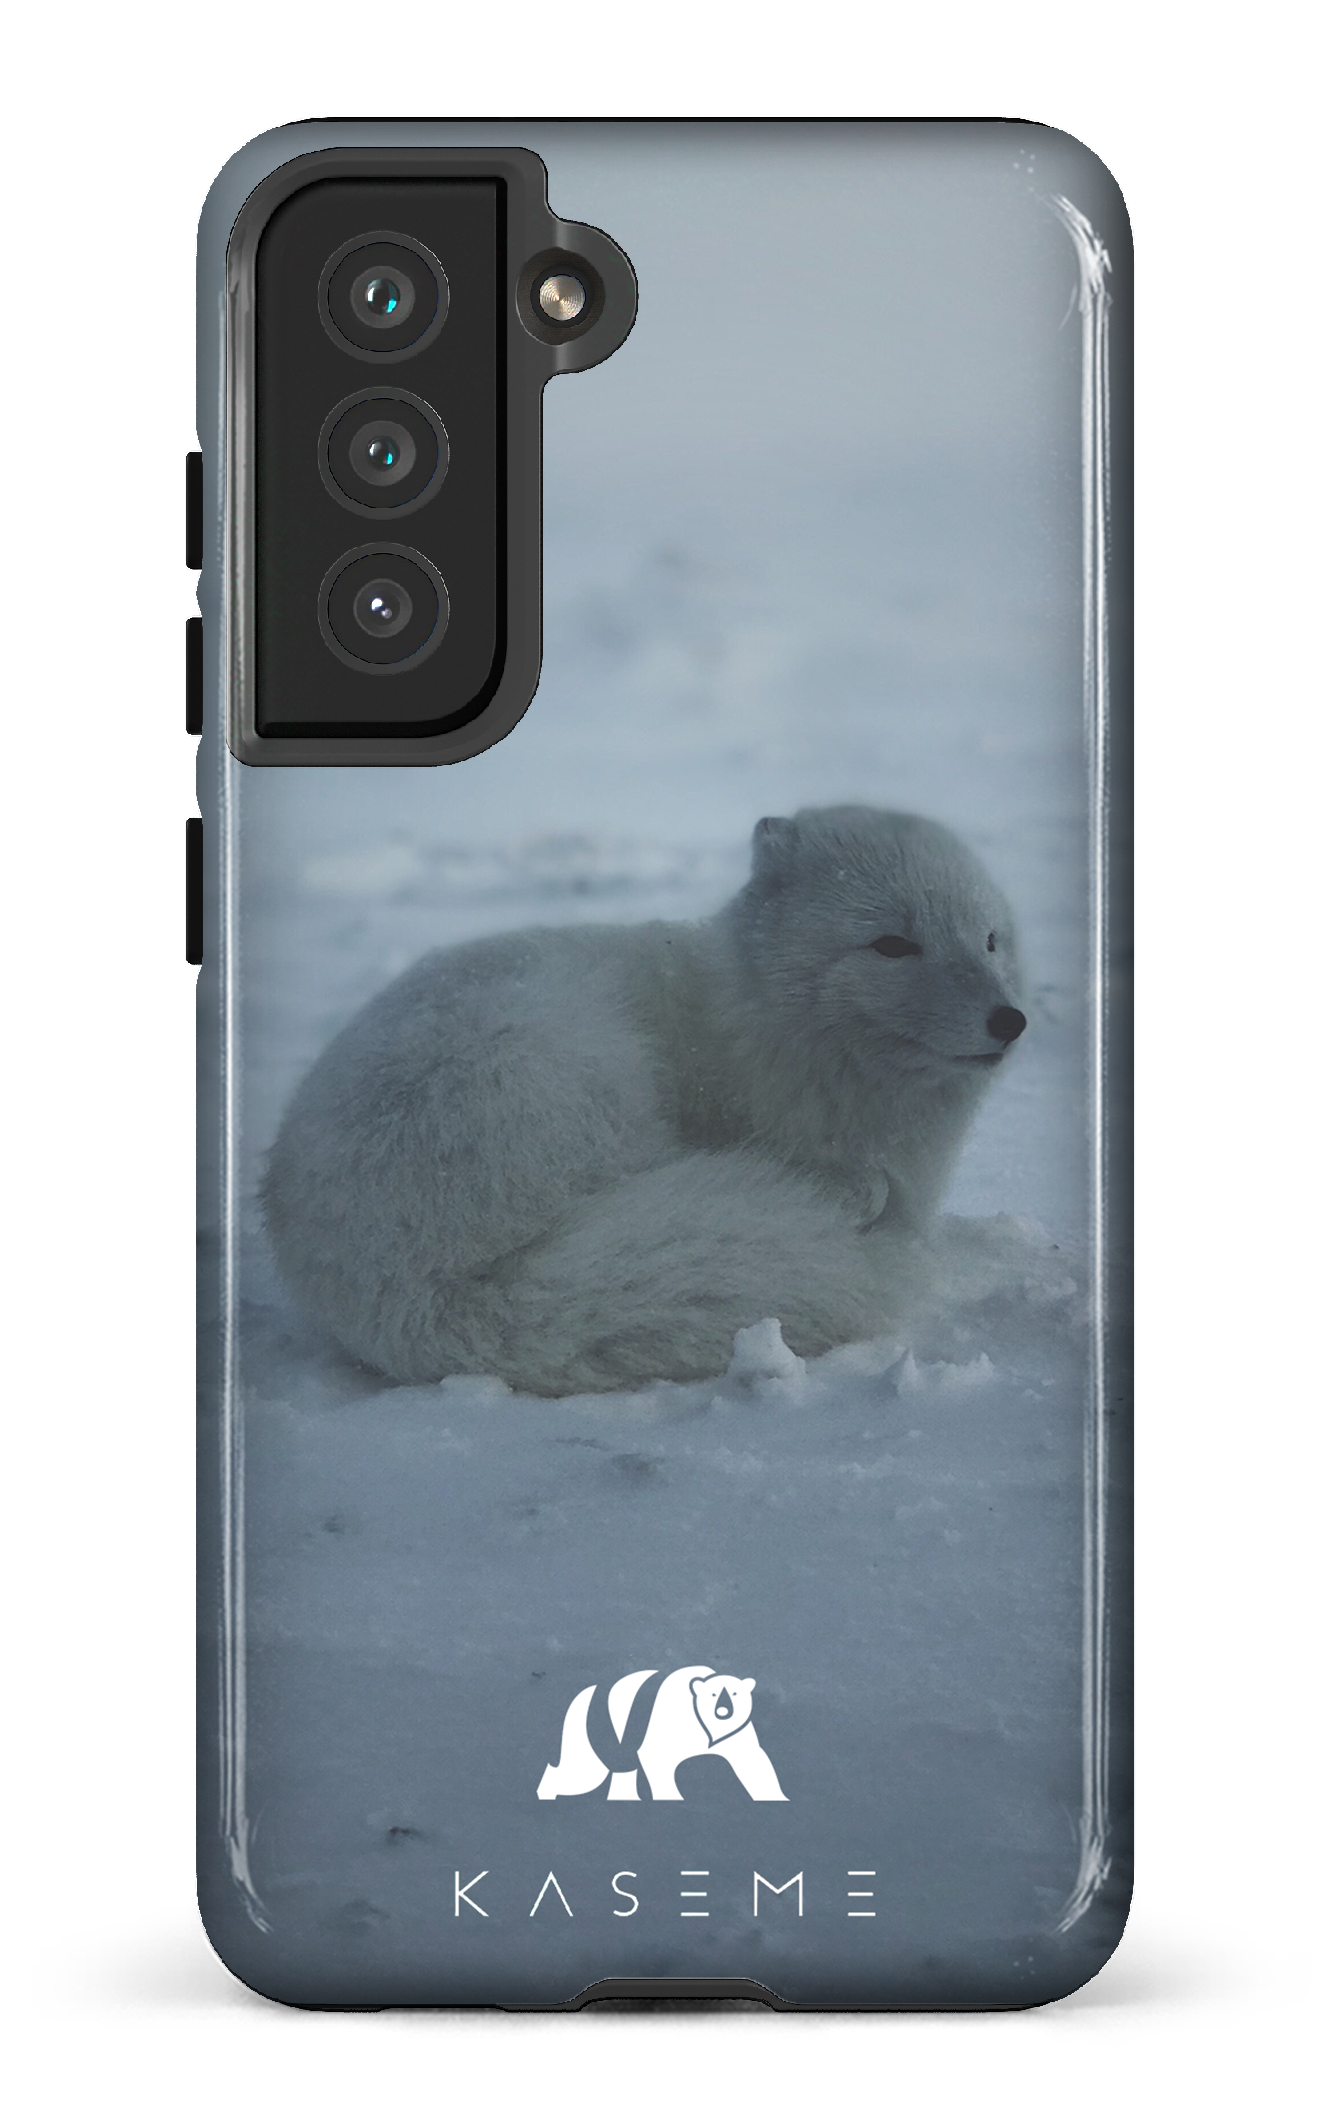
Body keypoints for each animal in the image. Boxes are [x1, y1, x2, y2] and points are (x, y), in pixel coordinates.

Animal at [263, 807, 1026, 1394]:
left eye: (990, 939)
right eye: (892, 944)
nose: (1010, 1019)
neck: (757, 1021)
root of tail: (414, 1295)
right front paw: (853, 1192)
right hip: (572, 1068)